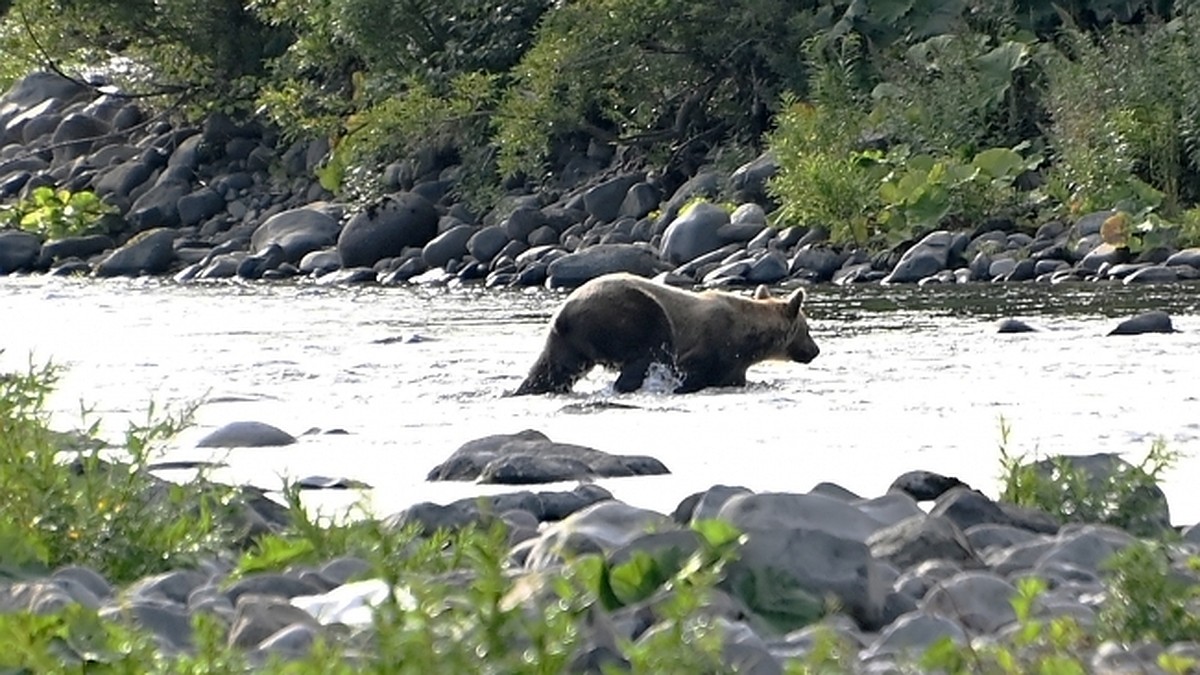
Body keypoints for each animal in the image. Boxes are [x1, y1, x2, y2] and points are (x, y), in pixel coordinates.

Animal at [511, 270, 820, 391]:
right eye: (807, 329)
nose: (816, 350)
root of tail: (564, 313)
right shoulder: (711, 345)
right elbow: (693, 370)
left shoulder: (733, 365)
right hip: (631, 315)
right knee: (646, 352)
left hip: (567, 345)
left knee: (549, 371)